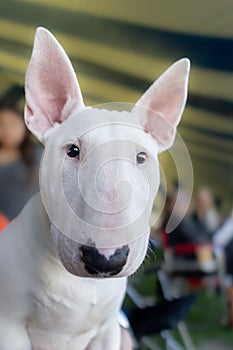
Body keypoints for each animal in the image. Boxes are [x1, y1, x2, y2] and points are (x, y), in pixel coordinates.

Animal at [0, 28, 190, 350]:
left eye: (141, 157)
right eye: (73, 151)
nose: (105, 258)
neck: (80, 286)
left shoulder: (108, 328)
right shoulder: (9, 325)